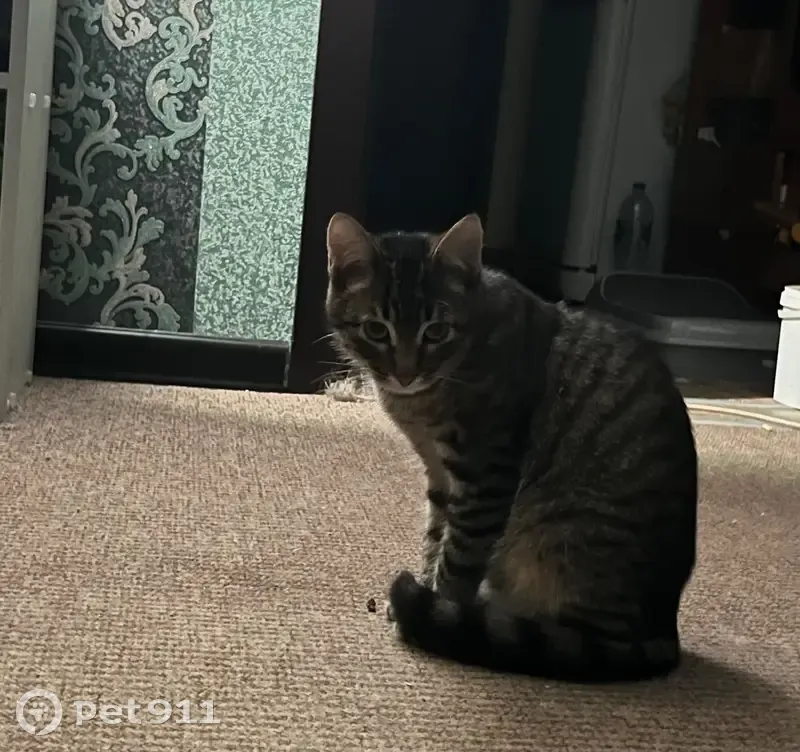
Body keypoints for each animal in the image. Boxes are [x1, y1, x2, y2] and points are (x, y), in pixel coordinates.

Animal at [324, 211, 698, 683]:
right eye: (376, 329)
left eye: (436, 331)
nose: (406, 374)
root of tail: (664, 632)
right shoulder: (440, 475)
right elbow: (434, 537)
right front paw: (425, 590)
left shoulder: (486, 474)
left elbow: (458, 555)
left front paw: (437, 608)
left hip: (564, 541)